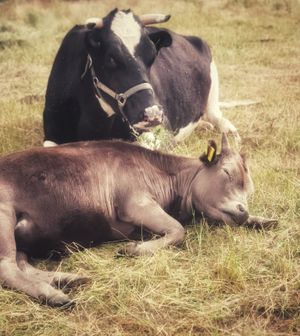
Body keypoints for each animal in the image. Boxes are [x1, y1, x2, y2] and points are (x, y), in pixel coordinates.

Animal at [42, 7, 239, 147]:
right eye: (111, 58)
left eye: (152, 55)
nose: (152, 114)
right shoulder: (51, 132)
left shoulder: (160, 132)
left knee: (216, 115)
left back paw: (230, 132)